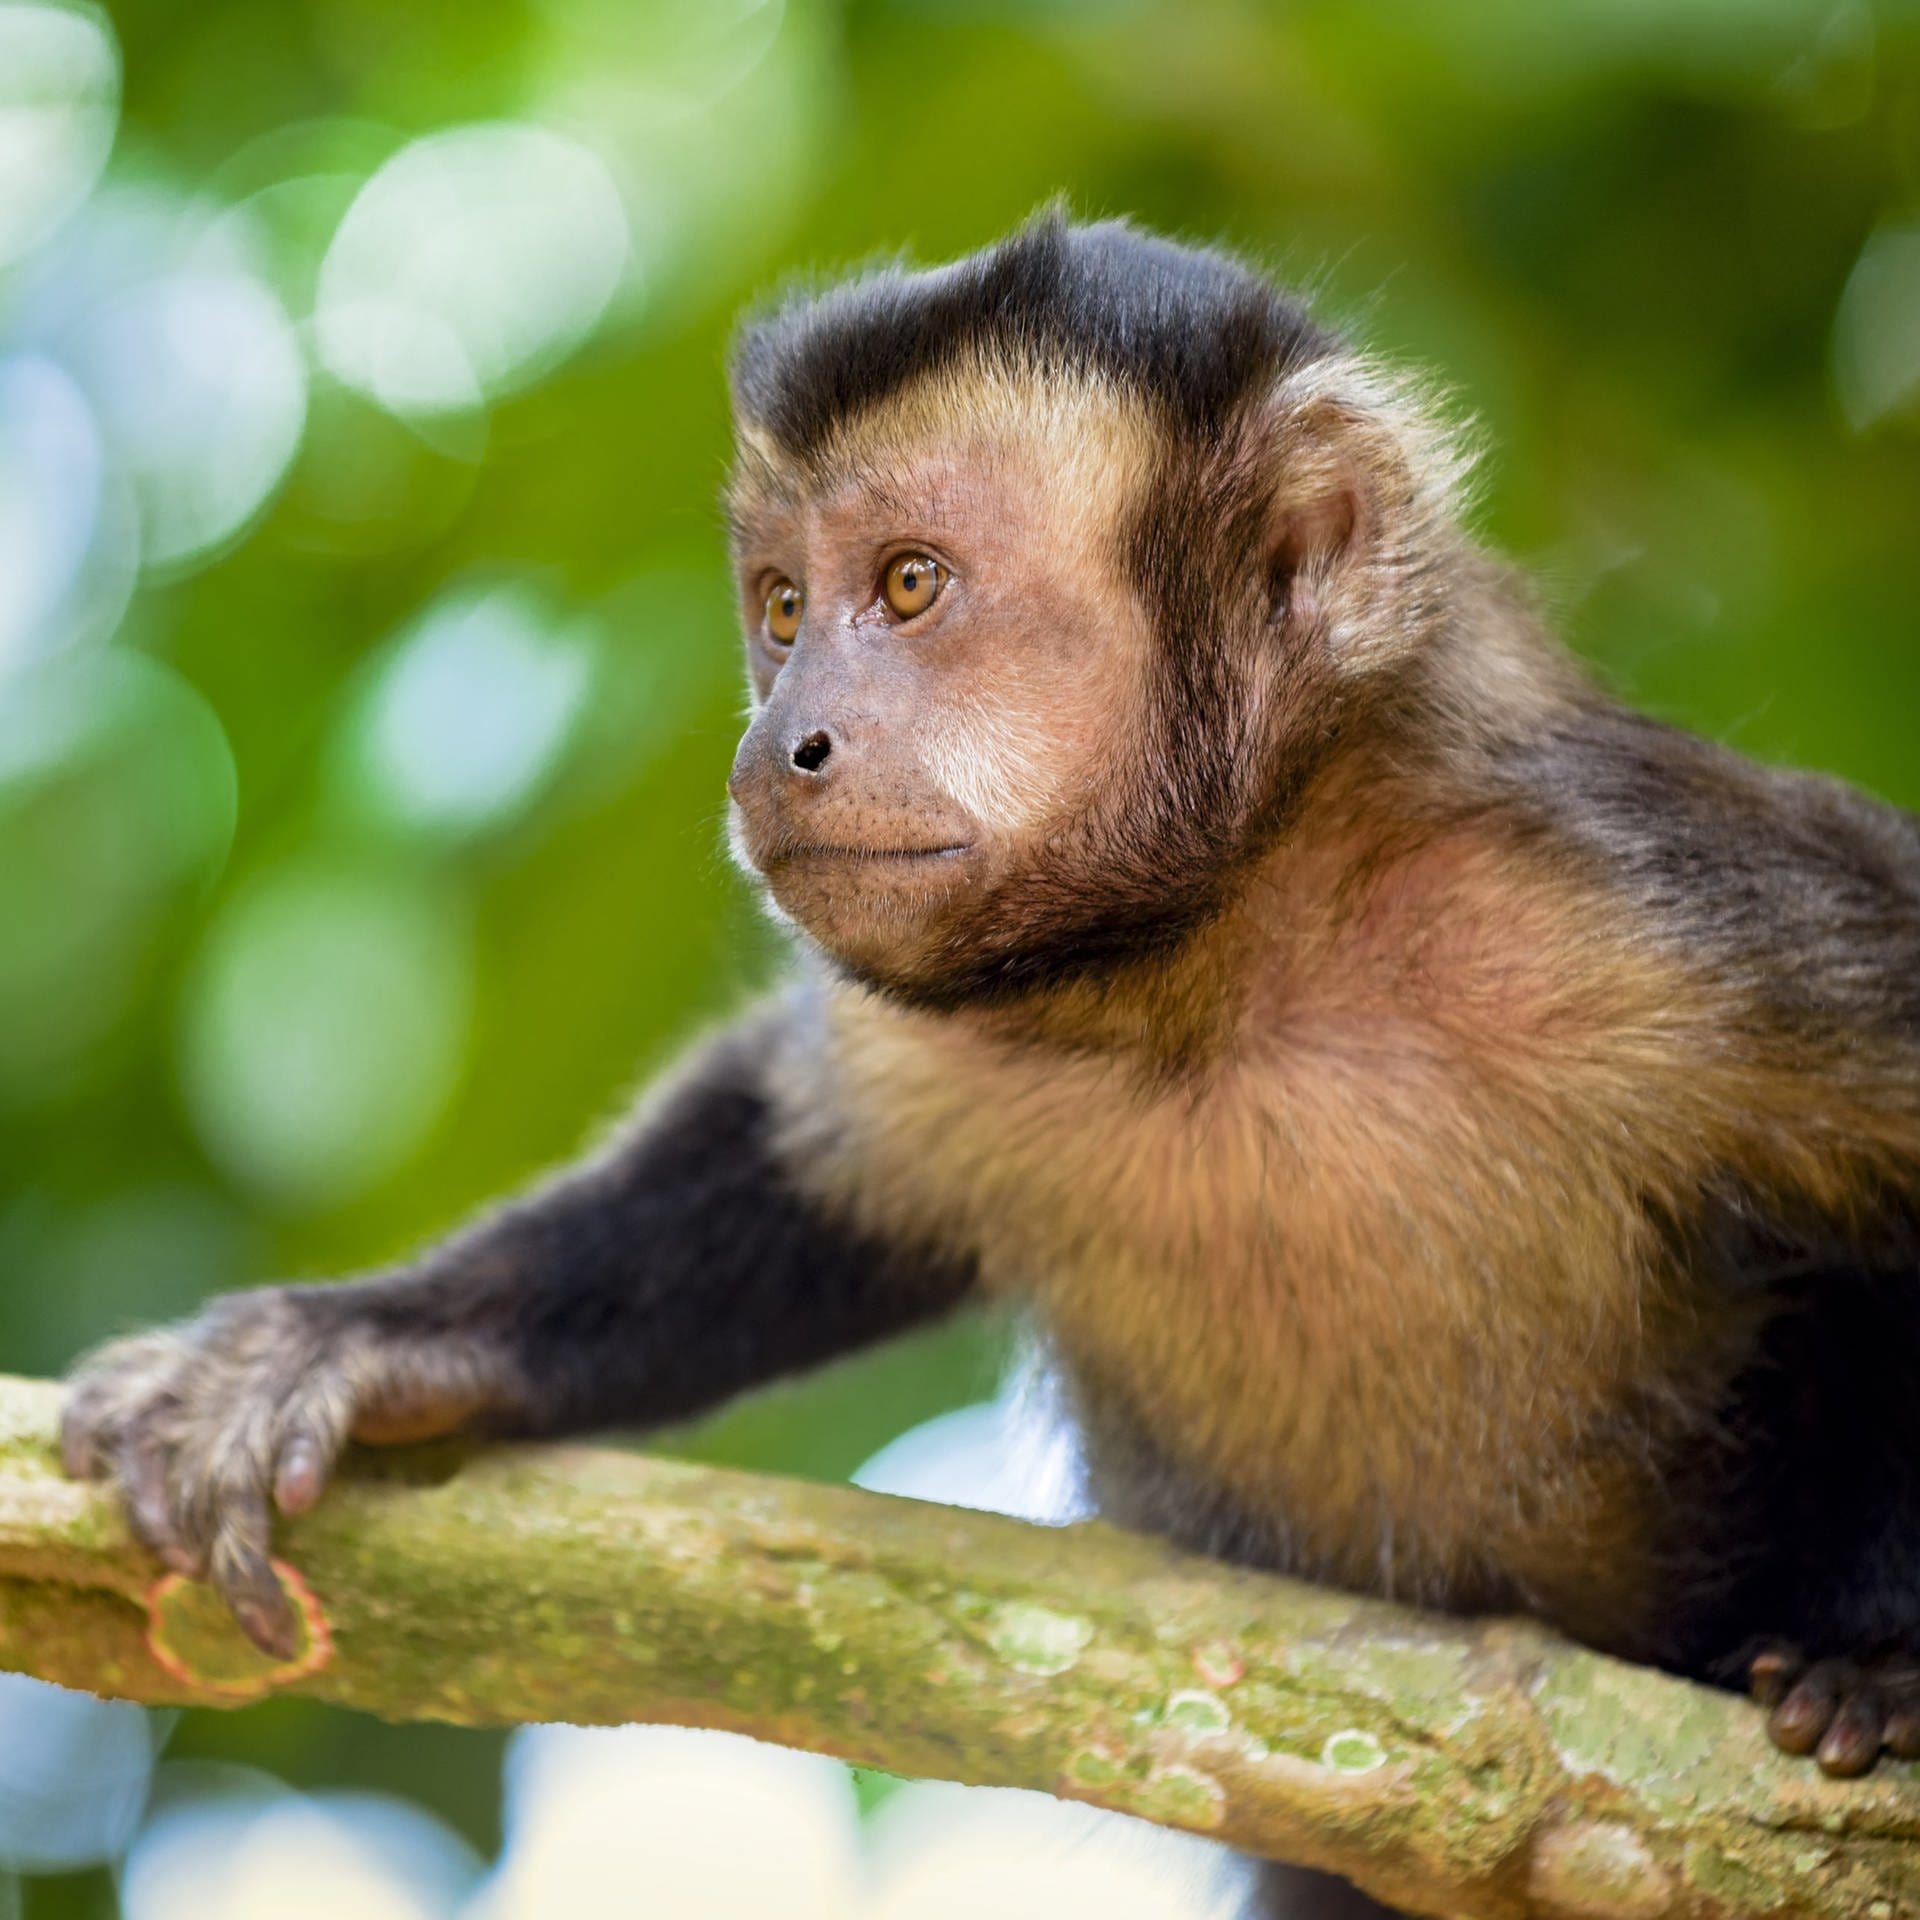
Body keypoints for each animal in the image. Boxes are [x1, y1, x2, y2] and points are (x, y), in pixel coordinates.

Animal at [60, 214, 1920, 1904]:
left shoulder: (1645, 906)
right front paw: (373, 1340)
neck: (1226, 961)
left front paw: (1884, 1664)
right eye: (784, 608)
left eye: (909, 585)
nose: (777, 745)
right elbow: (793, 1166)